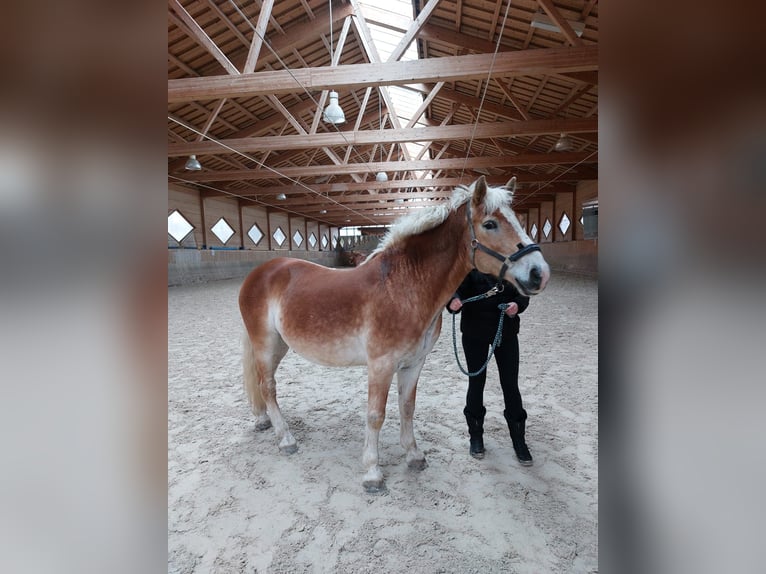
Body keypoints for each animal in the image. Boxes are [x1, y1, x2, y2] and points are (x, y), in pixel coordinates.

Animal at [240, 177, 552, 496]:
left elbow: (407, 407)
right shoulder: (381, 365)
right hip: (265, 344)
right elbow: (375, 415)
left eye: (518, 220)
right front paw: (372, 473)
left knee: (264, 385)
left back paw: (263, 421)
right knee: (268, 387)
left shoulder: (413, 364)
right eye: (490, 224)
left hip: (280, 346)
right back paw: (286, 439)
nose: (539, 273)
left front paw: (414, 456)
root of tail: (262, 272)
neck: (403, 287)